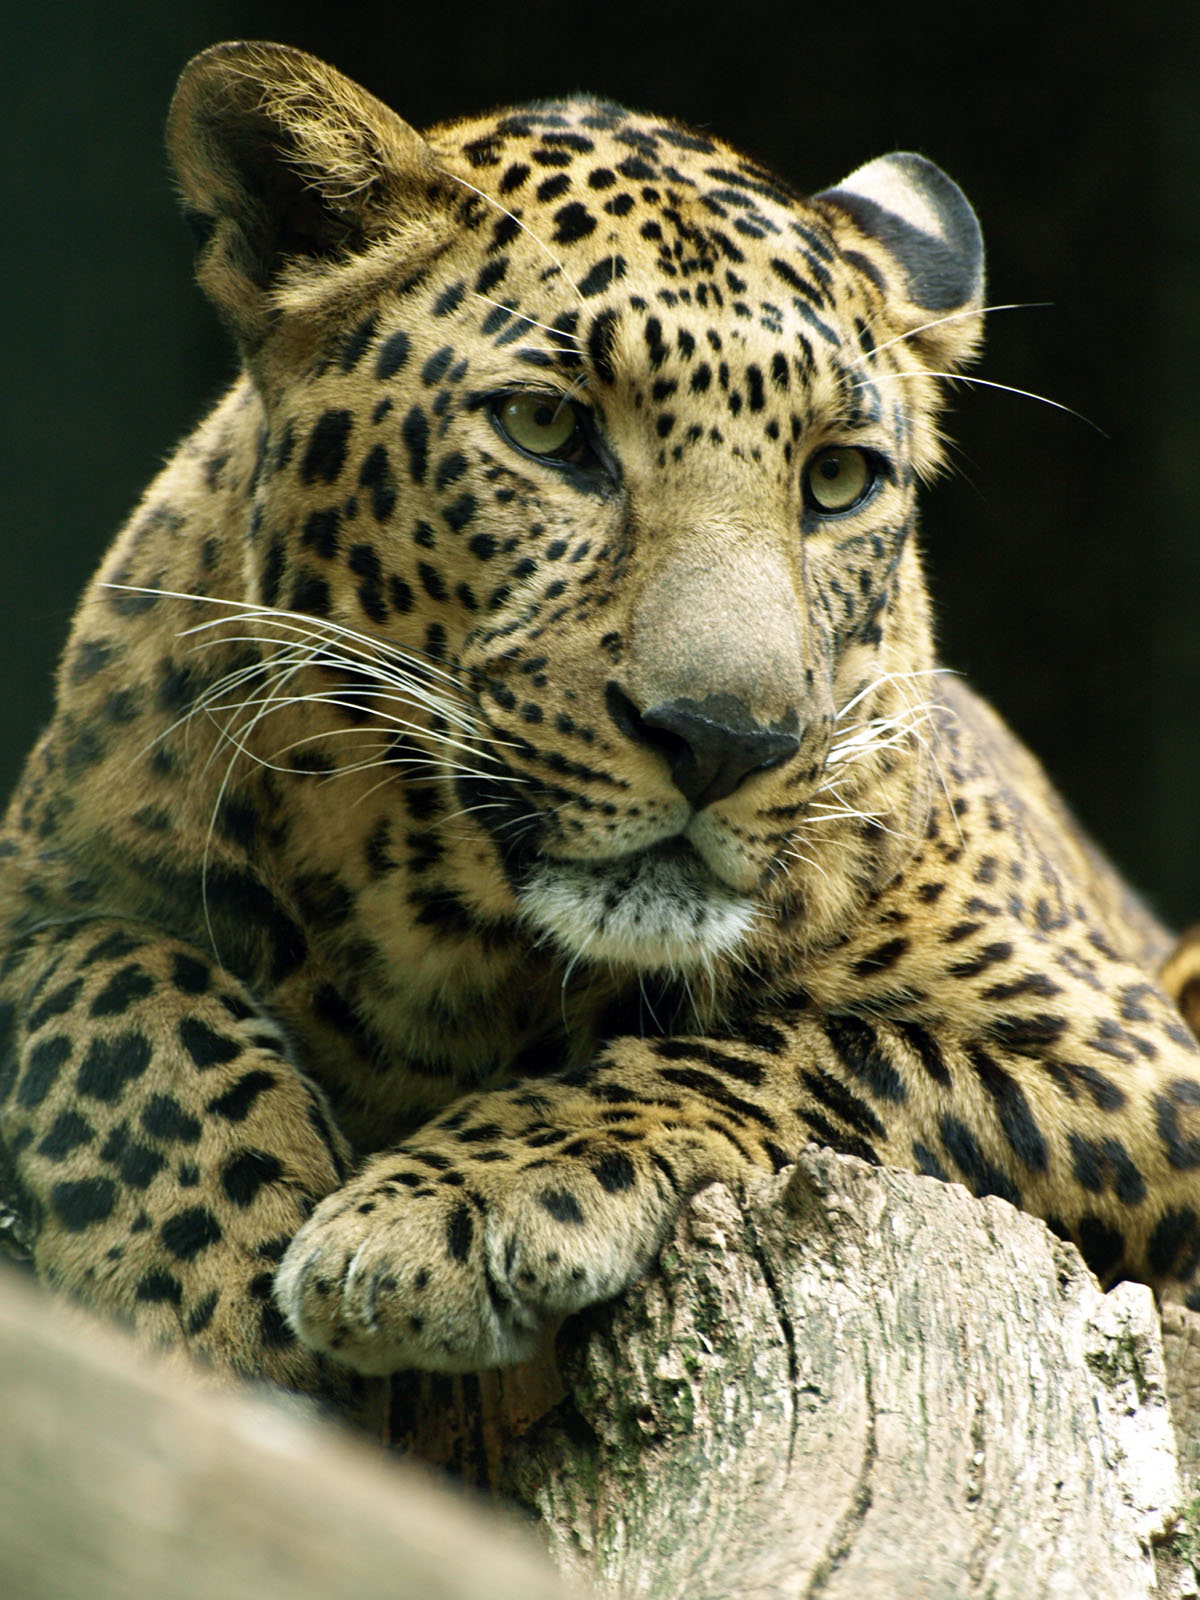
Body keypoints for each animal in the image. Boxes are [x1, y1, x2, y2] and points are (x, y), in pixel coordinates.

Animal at [2, 39, 1199, 1405]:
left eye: (838, 478)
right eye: (546, 425)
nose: (724, 740)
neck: (445, 936)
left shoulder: (1128, 1054)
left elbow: (817, 1048)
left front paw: (452, 1208)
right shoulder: (49, 884)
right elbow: (113, 991)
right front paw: (212, 1284)